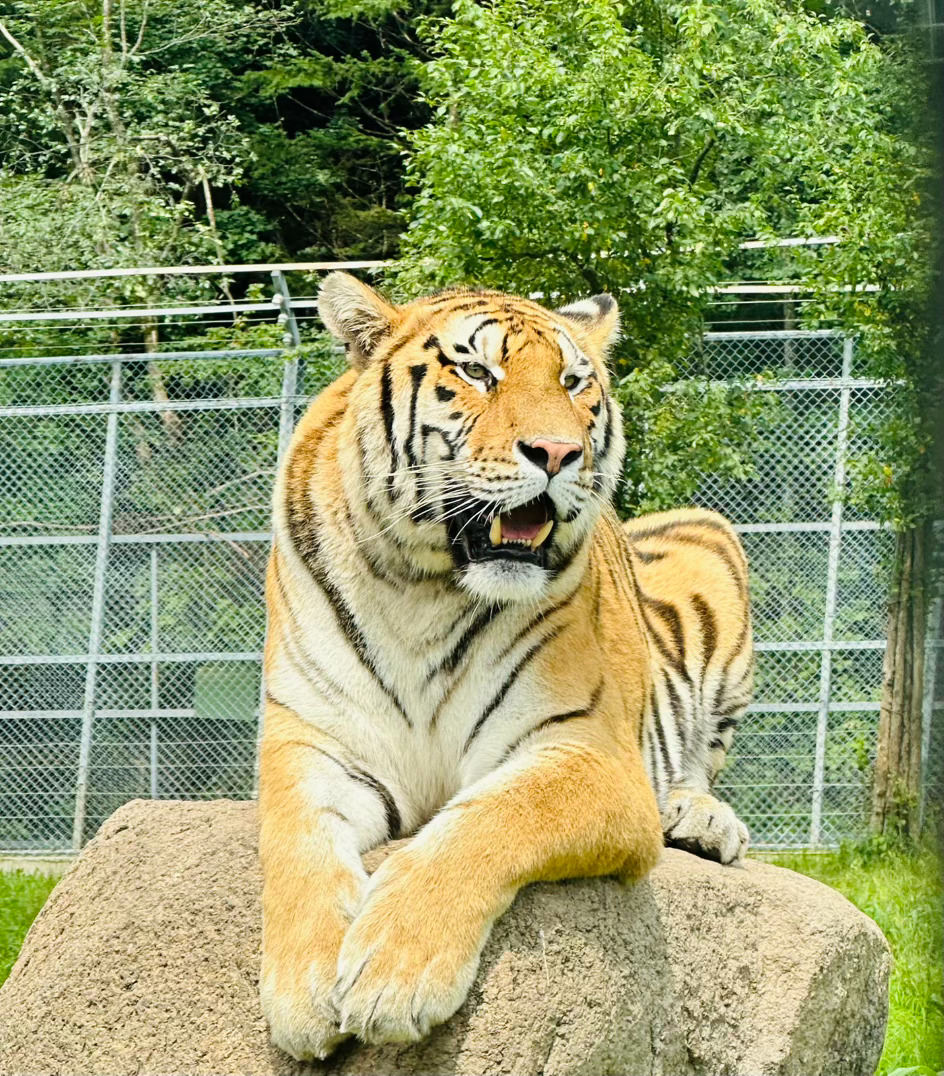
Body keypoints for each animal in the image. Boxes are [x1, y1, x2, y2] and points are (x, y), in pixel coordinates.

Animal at [258, 272, 753, 1061]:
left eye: (574, 382)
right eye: (476, 372)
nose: (557, 451)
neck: (419, 588)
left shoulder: (586, 751)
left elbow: (489, 820)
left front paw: (394, 974)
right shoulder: (312, 743)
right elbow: (297, 846)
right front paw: (304, 990)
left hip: (713, 544)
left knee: (701, 763)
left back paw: (701, 819)